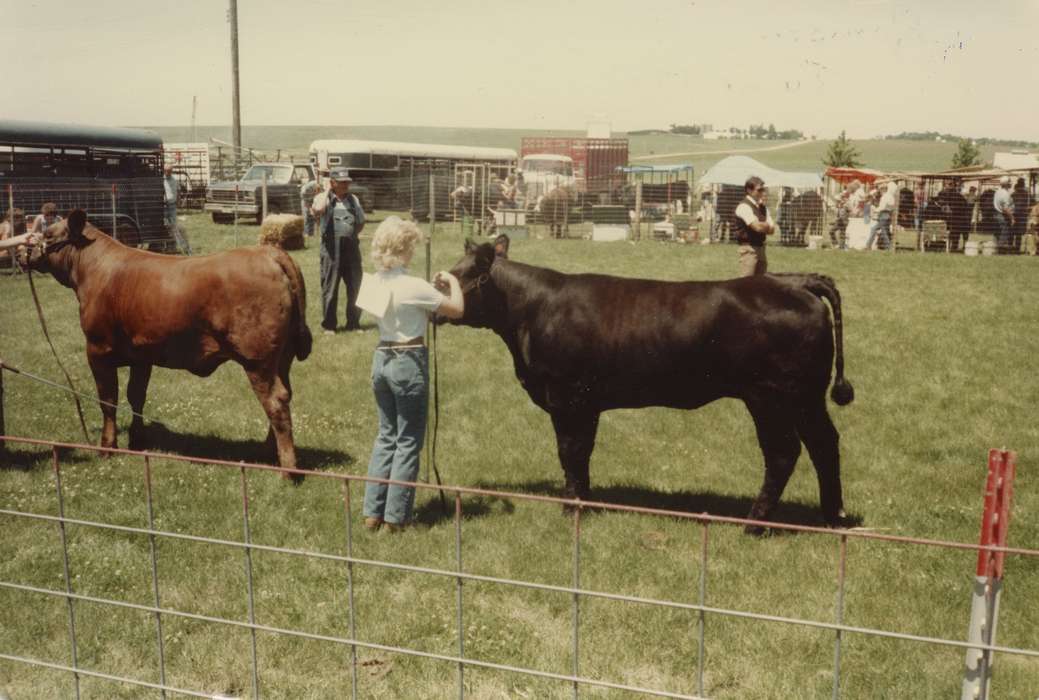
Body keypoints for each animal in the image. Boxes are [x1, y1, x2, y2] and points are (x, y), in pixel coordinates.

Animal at [26, 207, 309, 473]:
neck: (96, 269)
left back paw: (287, 469)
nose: (23, 251)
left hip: (257, 360)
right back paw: (268, 454)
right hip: (282, 359)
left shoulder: (97, 349)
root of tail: (270, 254)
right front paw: (137, 441)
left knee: (276, 401)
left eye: (48, 235)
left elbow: (108, 400)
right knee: (286, 394)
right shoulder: (142, 355)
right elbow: (136, 396)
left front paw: (108, 447)